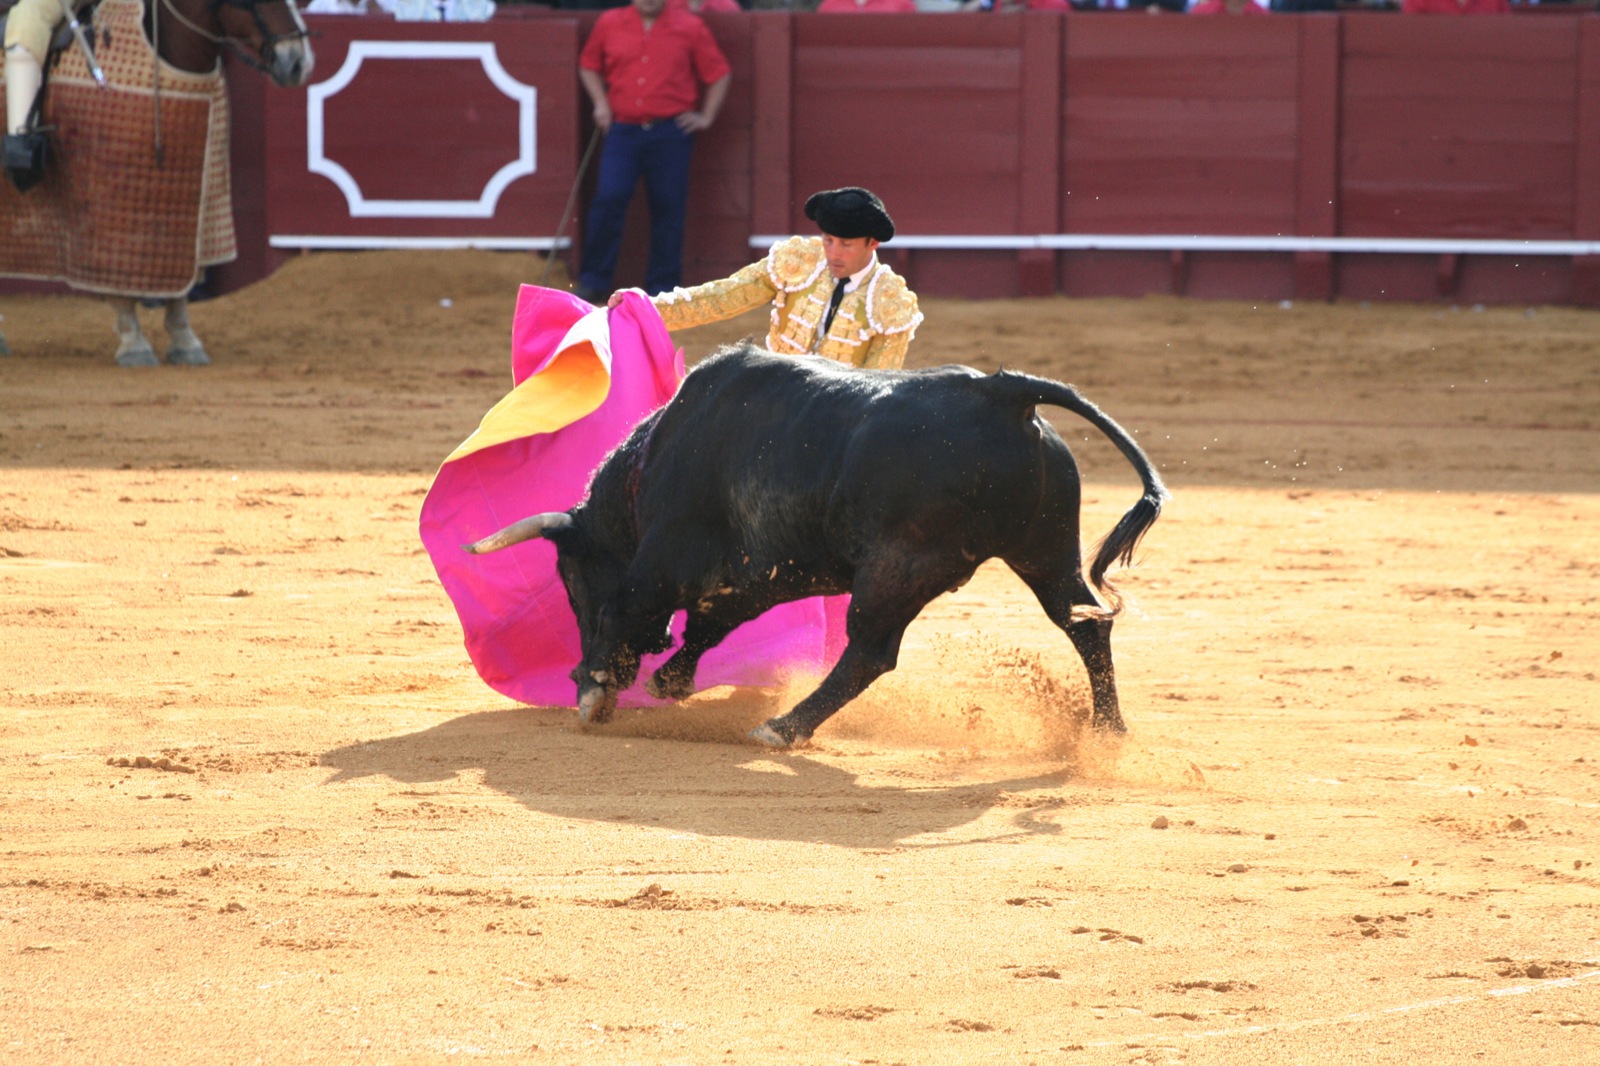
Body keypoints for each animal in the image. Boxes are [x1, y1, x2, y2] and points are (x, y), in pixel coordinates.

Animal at [0, 0, 313, 364]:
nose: (298, 62)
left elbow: (184, 278)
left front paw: (185, 341)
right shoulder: (107, 210)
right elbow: (117, 280)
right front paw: (133, 343)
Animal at [457, 344, 1171, 742]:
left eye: (570, 579)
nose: (575, 671)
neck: (653, 461)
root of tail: (1005, 391)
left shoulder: (665, 560)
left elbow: (628, 607)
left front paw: (597, 688)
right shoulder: (759, 574)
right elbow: (707, 626)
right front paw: (668, 682)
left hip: (899, 565)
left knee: (870, 652)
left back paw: (782, 728)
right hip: (1045, 550)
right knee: (1085, 624)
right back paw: (1108, 732)